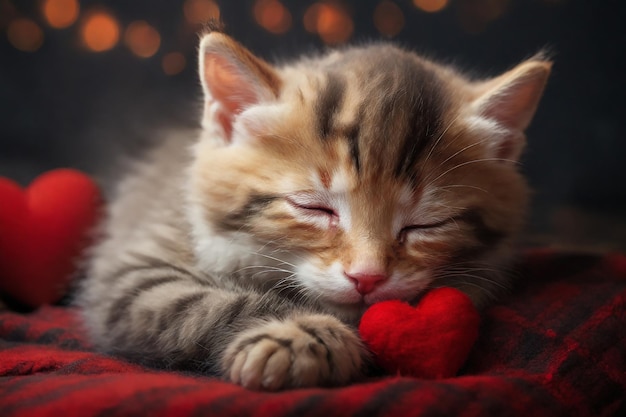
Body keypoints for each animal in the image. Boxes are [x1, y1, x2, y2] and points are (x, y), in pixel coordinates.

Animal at [75, 30, 548, 390]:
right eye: (314, 208)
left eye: (426, 224)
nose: (367, 277)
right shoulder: (134, 272)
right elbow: (206, 302)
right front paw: (301, 336)